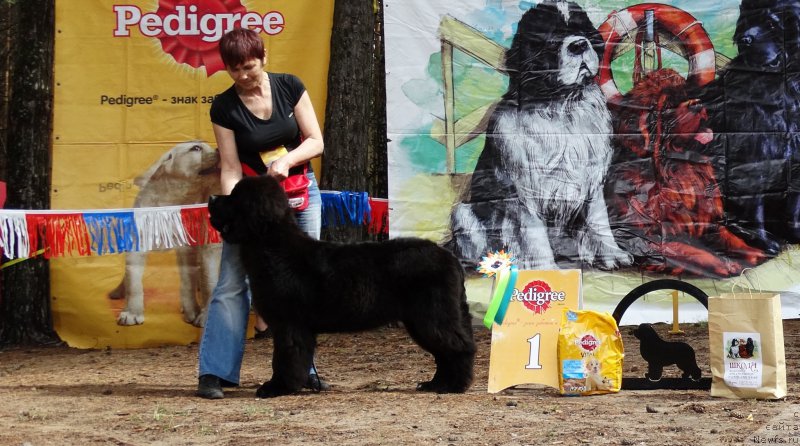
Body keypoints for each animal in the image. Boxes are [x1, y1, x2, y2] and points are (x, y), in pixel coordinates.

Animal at [209, 175, 478, 398]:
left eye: (234, 197)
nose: (211, 198)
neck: (273, 247)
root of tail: (450, 258)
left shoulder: (289, 324)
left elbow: (285, 357)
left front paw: (277, 387)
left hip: (432, 316)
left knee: (459, 347)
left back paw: (454, 385)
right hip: (422, 319)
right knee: (444, 353)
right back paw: (436, 384)